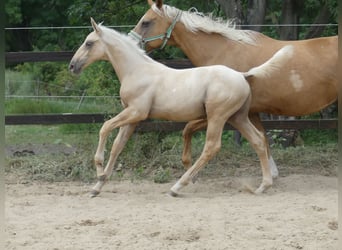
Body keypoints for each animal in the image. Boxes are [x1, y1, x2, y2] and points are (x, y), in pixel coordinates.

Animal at [69, 17, 292, 197]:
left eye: (89, 43)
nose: (72, 66)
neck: (137, 70)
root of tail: (242, 75)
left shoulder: (136, 112)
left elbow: (104, 127)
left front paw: (99, 170)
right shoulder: (132, 118)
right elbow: (117, 146)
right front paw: (97, 186)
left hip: (218, 117)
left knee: (212, 147)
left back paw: (177, 187)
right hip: (238, 117)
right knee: (258, 140)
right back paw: (263, 186)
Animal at [130, 0, 338, 179]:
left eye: (146, 22)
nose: (132, 44)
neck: (224, 51)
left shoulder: (222, 113)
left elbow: (188, 128)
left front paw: (188, 166)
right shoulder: (250, 113)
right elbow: (262, 138)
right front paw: (272, 174)